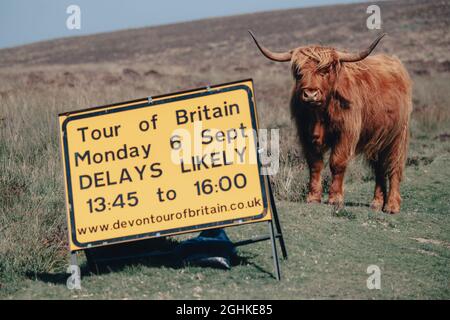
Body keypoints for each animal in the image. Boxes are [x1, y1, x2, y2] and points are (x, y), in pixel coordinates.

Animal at [250, 31, 412, 214]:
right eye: (299, 72)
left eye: (325, 71)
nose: (310, 94)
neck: (320, 113)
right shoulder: (306, 134)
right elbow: (315, 164)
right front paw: (313, 197)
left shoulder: (346, 133)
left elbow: (337, 162)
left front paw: (335, 198)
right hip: (376, 139)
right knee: (379, 168)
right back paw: (377, 203)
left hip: (398, 136)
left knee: (394, 166)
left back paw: (392, 205)